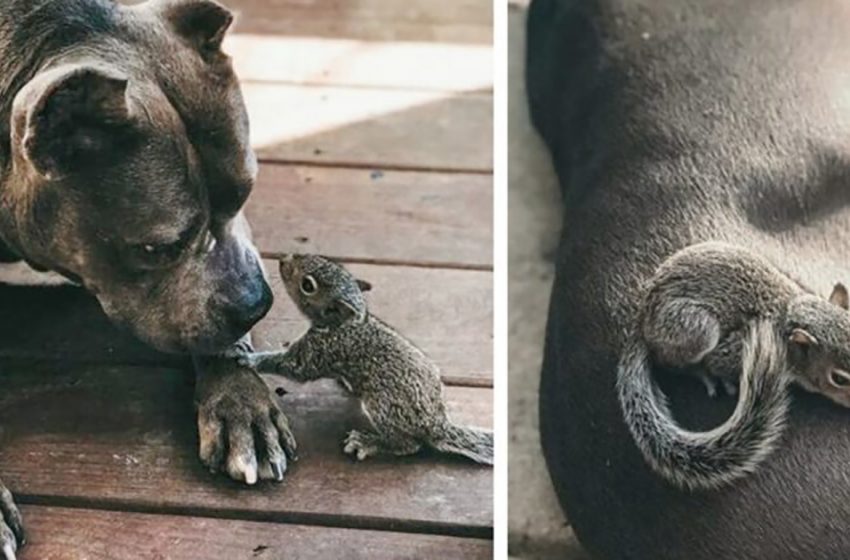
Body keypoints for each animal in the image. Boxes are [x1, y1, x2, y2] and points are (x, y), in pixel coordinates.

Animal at [237, 254, 490, 464]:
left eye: (307, 285)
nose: (284, 260)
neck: (347, 323)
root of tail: (436, 424)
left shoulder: (319, 351)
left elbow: (291, 367)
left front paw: (249, 358)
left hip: (383, 405)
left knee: (408, 445)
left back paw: (370, 442)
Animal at [612, 241, 848, 490]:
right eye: (839, 379)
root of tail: (642, 319)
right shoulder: (738, 349)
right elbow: (717, 363)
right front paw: (720, 377)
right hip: (697, 328)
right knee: (670, 362)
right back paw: (702, 375)